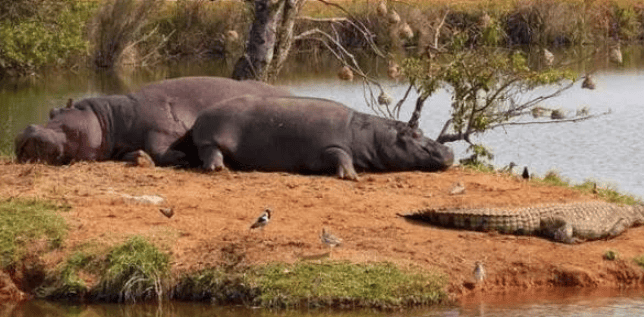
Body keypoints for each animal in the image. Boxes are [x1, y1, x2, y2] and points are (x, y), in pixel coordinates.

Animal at [13, 77, 290, 165]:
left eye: (58, 112)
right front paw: (138, 158)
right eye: (51, 111)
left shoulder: (161, 127)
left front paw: (181, 157)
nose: (28, 128)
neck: (109, 119)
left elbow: (158, 147)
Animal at [169, 94, 456, 179]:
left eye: (421, 131)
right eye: (415, 134)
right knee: (210, 152)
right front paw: (351, 176)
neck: (370, 135)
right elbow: (341, 155)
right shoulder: (329, 147)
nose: (449, 152)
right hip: (211, 136)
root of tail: (201, 116)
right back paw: (218, 168)